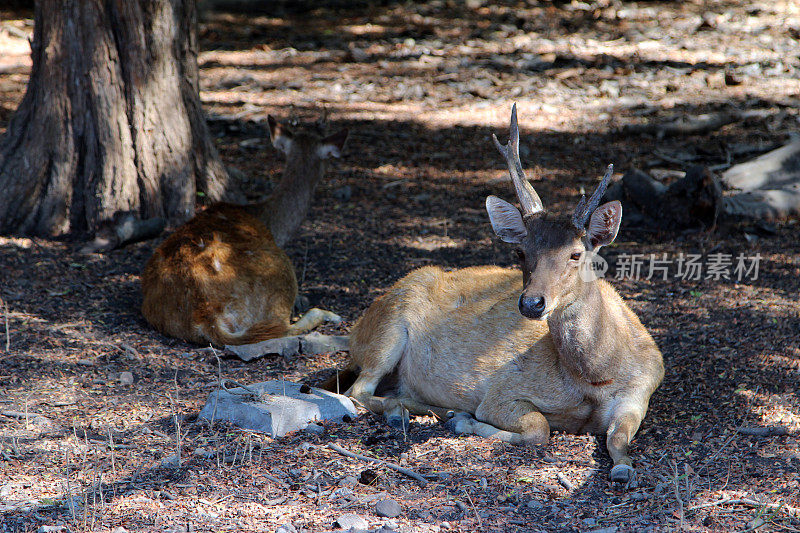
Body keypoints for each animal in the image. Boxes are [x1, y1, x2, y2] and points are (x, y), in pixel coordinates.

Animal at [332, 106, 664, 484]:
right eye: (520, 252)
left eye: (576, 253)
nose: (532, 303)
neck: (594, 381)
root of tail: (357, 329)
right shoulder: (501, 391)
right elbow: (538, 428)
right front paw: (467, 421)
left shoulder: (641, 391)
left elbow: (618, 437)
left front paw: (624, 468)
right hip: (387, 330)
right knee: (357, 390)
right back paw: (421, 411)